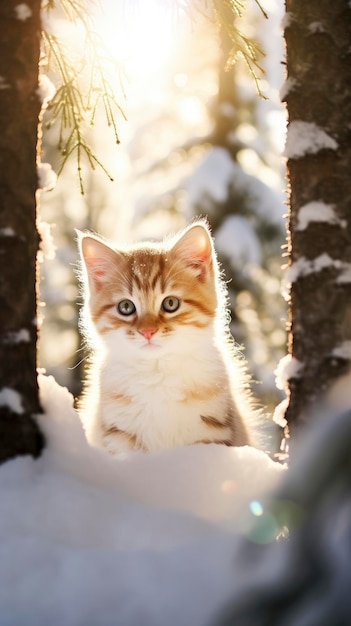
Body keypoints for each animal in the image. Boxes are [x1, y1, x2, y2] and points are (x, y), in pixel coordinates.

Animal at [77, 221, 258, 454]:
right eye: (125, 307)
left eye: (170, 303)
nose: (147, 332)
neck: (156, 371)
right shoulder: (119, 436)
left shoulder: (211, 432)